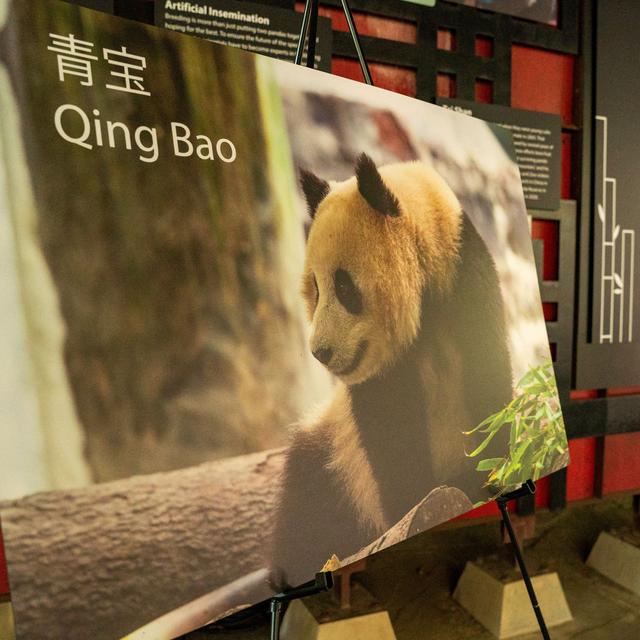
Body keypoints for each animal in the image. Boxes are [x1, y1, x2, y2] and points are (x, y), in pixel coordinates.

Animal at [270, 152, 516, 588]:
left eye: (344, 287)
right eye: (314, 288)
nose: (321, 352)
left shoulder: (467, 286)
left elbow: (488, 388)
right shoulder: (377, 381)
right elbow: (390, 441)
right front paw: (412, 501)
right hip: (332, 463)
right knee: (305, 511)